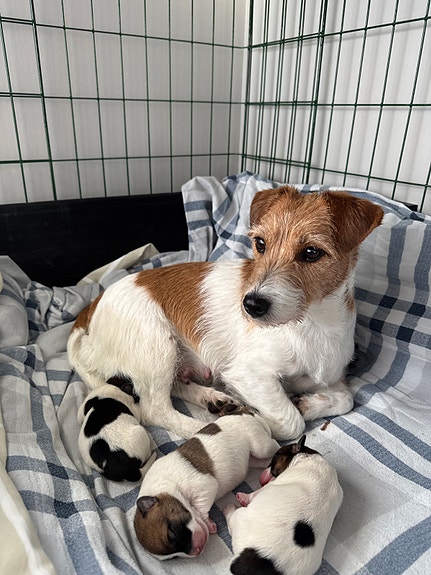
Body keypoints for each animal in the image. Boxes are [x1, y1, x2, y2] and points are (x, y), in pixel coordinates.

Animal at [68, 186, 383, 440]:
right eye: (260, 244)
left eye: (311, 253)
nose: (251, 305)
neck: (314, 322)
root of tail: (90, 309)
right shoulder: (249, 373)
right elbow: (290, 421)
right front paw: (263, 417)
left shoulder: (332, 378)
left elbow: (347, 398)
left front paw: (306, 403)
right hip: (156, 345)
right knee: (154, 409)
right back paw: (205, 426)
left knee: (174, 388)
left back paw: (214, 399)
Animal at [133, 410, 280, 559]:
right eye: (175, 557)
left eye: (172, 533)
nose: (197, 551)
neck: (168, 488)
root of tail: (246, 413)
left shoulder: (205, 486)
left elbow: (200, 508)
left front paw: (207, 522)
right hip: (254, 459)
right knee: (265, 461)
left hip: (260, 445)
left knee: (275, 445)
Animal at [223, 435, 343, 575]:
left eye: (273, 459)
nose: (262, 476)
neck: (307, 456)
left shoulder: (271, 485)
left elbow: (255, 493)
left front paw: (244, 497)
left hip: (240, 517)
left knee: (232, 521)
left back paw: (228, 508)